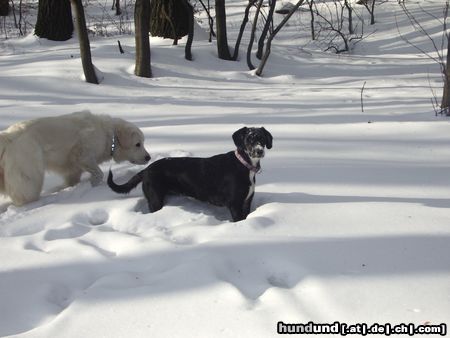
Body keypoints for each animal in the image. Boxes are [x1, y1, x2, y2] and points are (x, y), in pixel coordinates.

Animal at [0, 111, 151, 206]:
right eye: (138, 144)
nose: (148, 157)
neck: (108, 135)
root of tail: (8, 137)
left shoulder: (73, 169)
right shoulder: (83, 155)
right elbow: (98, 173)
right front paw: (94, 185)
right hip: (30, 174)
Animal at [107, 127, 272, 222]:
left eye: (262, 139)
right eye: (249, 139)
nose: (259, 151)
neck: (244, 165)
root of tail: (146, 170)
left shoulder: (247, 201)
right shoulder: (234, 204)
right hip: (155, 199)